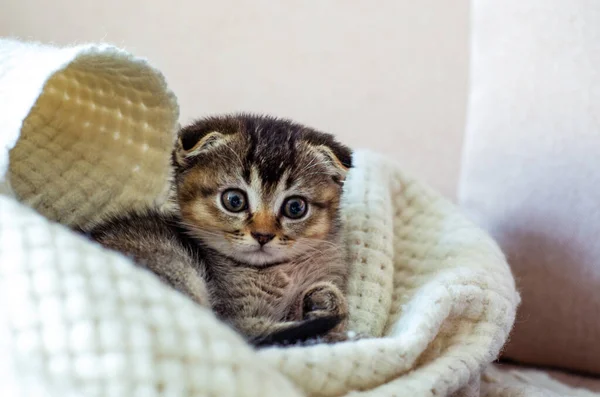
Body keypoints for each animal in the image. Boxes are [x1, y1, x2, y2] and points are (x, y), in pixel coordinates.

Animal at [86, 113, 354, 344]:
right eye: (234, 200)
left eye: (295, 207)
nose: (263, 235)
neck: (276, 272)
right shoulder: (233, 314)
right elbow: (244, 329)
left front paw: (324, 299)